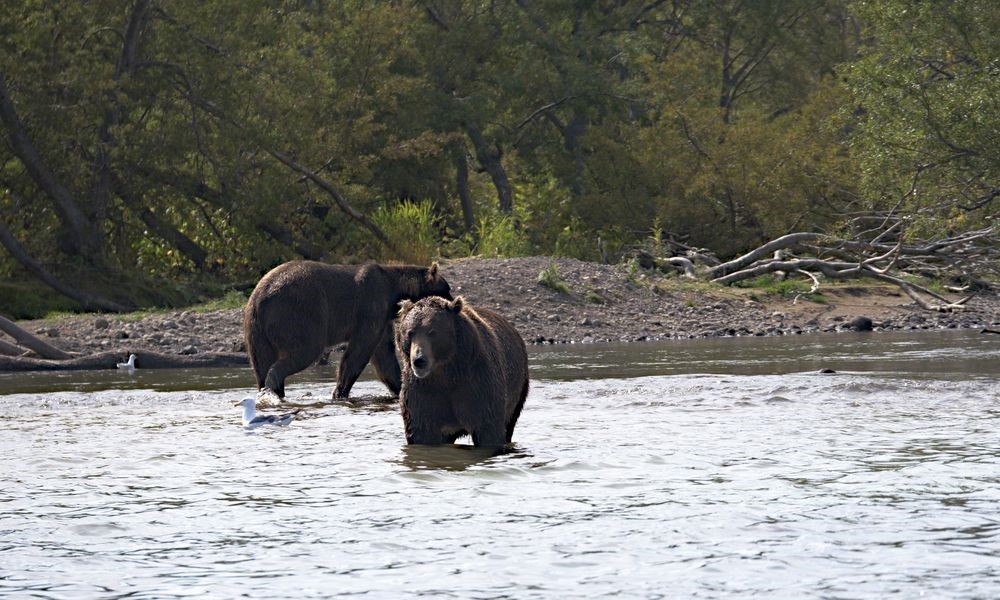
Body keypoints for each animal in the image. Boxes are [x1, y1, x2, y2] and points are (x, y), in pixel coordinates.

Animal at [242, 262, 450, 398]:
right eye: (446, 289)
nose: (451, 302)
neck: (394, 292)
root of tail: (260, 296)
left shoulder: (382, 317)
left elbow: (384, 355)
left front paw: (399, 388)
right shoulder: (371, 305)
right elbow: (360, 350)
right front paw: (340, 391)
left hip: (256, 328)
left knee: (260, 362)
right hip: (298, 313)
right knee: (305, 350)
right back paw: (274, 384)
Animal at [394, 296, 532, 446]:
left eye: (432, 331)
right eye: (410, 332)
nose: (419, 360)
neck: (445, 372)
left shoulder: (477, 382)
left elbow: (488, 428)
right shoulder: (422, 391)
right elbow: (422, 431)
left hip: (518, 386)